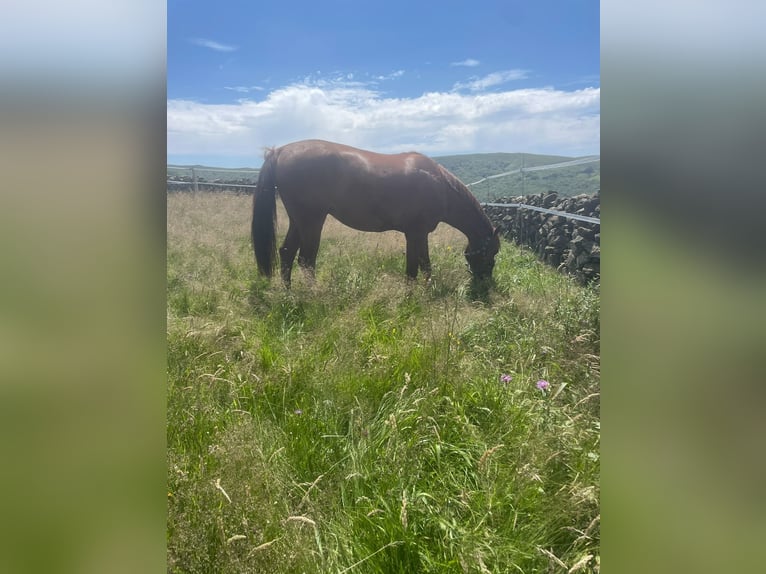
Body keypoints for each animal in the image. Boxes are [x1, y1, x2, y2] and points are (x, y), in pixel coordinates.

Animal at [254, 140, 504, 288]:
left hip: (298, 221)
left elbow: (421, 265)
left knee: (286, 253)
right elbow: (415, 268)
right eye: (492, 253)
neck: (439, 184)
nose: (485, 284)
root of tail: (280, 151)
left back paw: (288, 293)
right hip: (312, 221)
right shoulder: (416, 234)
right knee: (306, 260)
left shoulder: (418, 234)